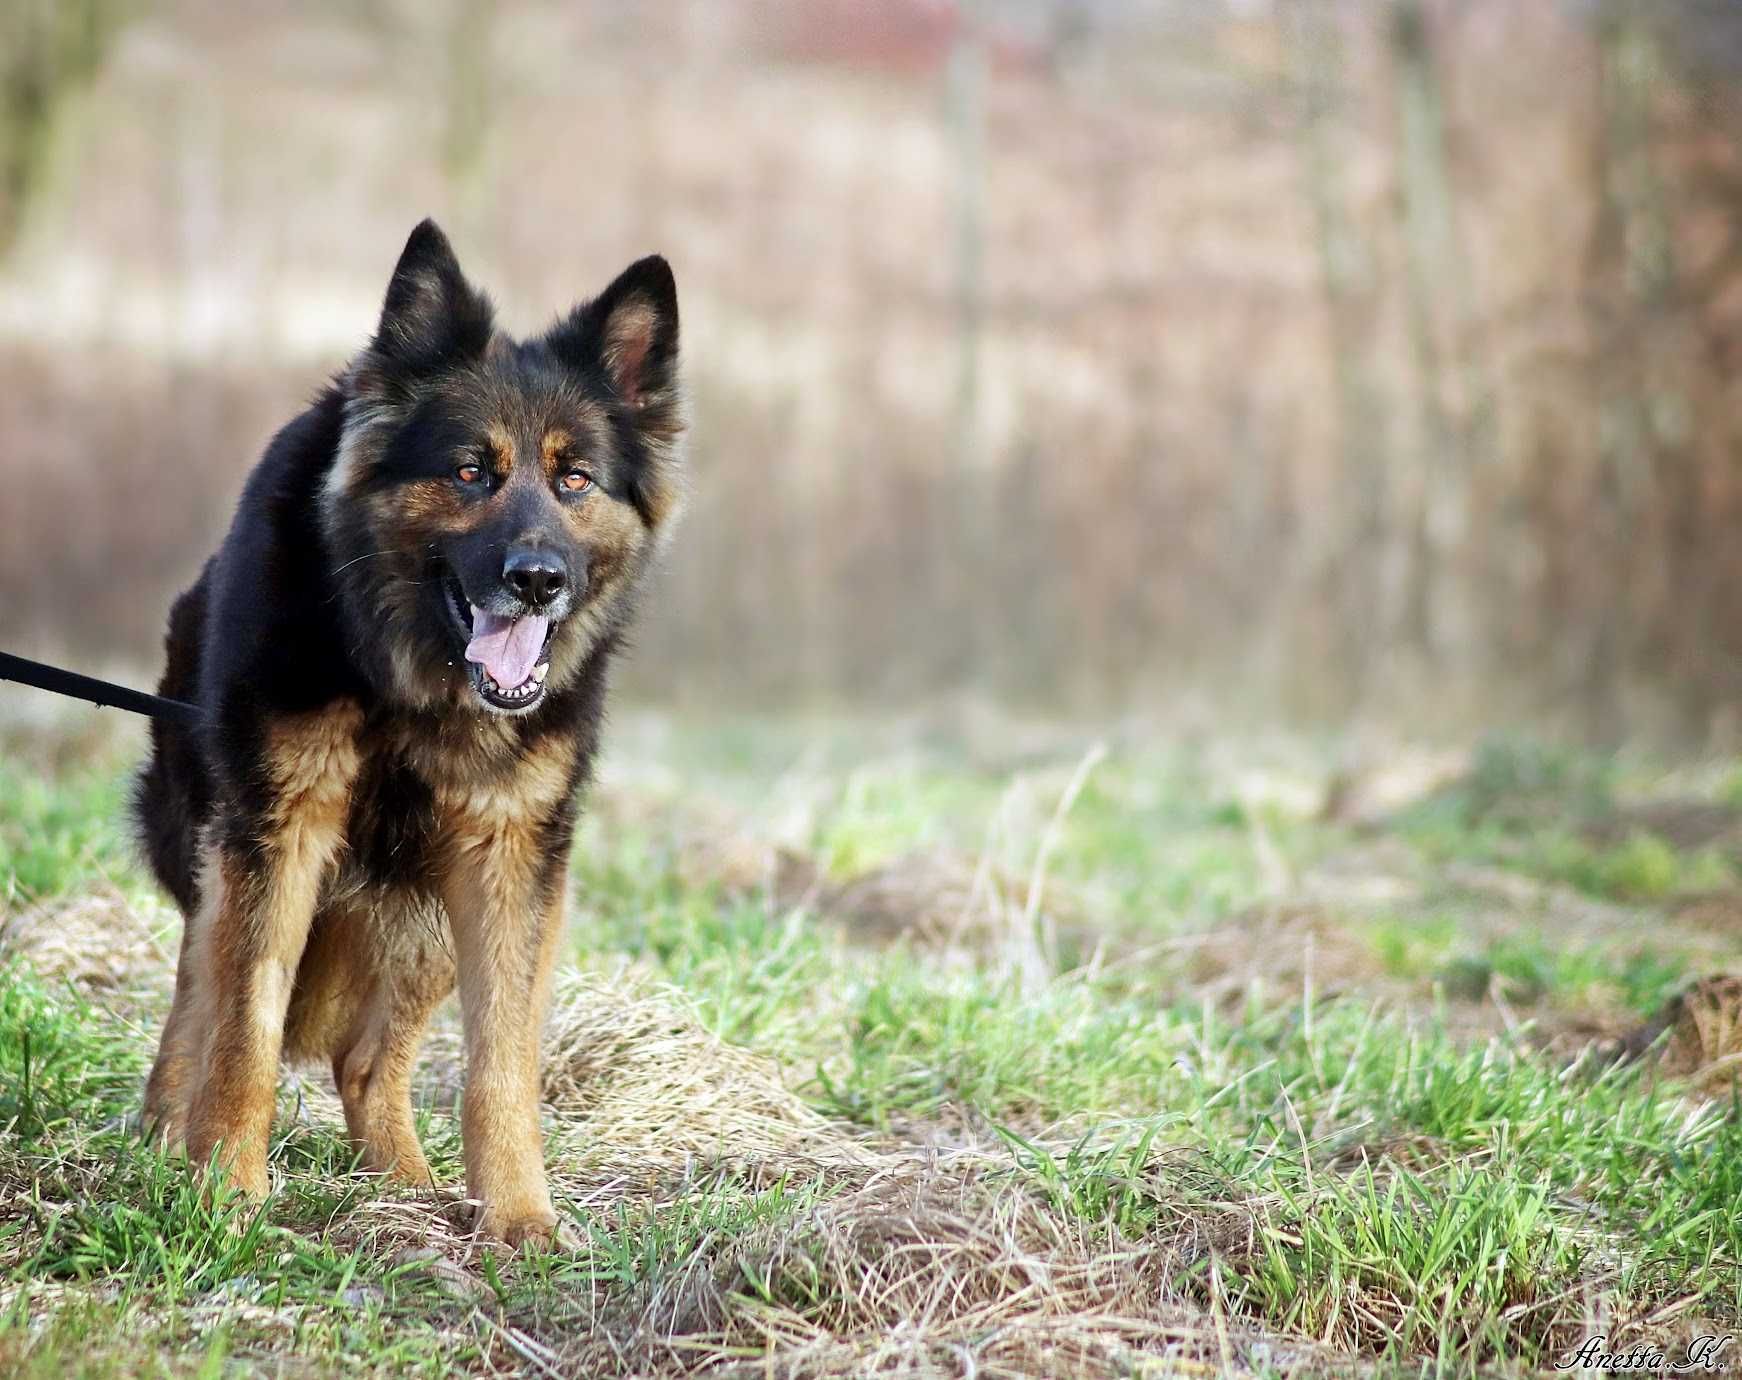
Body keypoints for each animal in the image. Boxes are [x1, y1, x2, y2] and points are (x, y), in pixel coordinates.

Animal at [132, 221, 686, 1247]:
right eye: (470, 470)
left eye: (575, 477)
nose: (538, 580)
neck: (414, 683)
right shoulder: (280, 828)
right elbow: (247, 1025)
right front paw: (226, 1195)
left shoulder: (509, 856)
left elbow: (502, 1059)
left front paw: (519, 1217)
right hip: (217, 842)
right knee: (198, 991)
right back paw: (164, 1133)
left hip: (424, 906)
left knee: (363, 1059)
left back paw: (404, 1182)